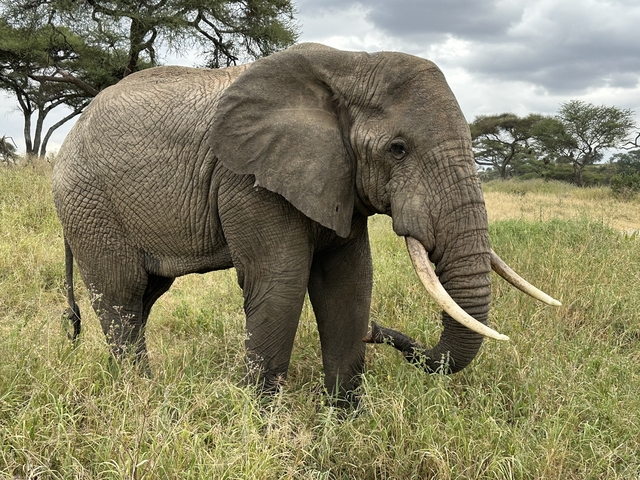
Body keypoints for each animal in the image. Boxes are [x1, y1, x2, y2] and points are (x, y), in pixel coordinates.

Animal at [52, 43, 560, 402]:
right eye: (398, 149)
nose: (378, 331)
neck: (349, 64)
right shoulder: (248, 180)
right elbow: (281, 283)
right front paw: (258, 423)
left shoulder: (339, 182)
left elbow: (350, 281)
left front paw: (344, 422)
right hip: (89, 205)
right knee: (121, 294)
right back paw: (142, 395)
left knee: (145, 296)